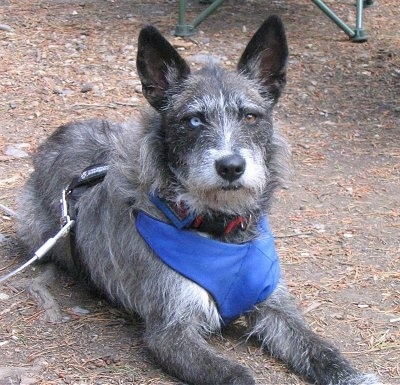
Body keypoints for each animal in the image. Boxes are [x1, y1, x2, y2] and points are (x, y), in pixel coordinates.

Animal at [18, 15, 382, 384]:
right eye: (193, 120)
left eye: (250, 116)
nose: (231, 166)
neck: (220, 230)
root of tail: (61, 132)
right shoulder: (171, 330)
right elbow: (238, 375)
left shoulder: (275, 307)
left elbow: (321, 349)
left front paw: (354, 375)